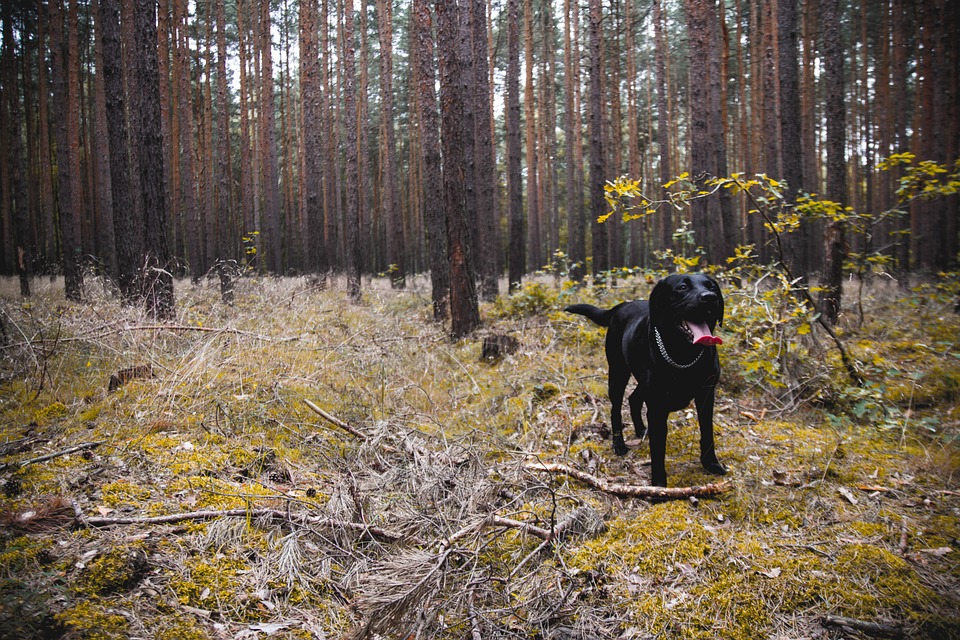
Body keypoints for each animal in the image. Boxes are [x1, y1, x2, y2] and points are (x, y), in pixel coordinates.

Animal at [564, 272, 728, 488]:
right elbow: (658, 449)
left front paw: (711, 464)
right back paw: (619, 444)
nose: (709, 297)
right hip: (618, 373)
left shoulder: (706, 395)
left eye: (712, 287)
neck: (684, 356)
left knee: (634, 398)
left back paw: (641, 429)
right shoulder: (657, 406)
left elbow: (707, 432)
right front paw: (658, 484)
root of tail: (620, 306)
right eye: (682, 287)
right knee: (616, 409)